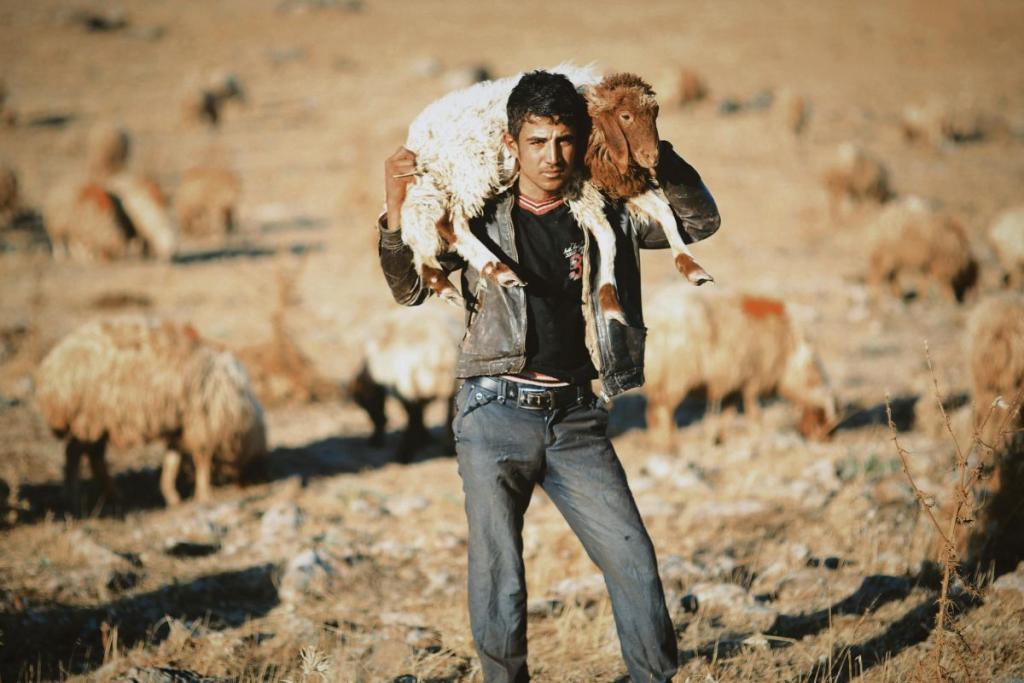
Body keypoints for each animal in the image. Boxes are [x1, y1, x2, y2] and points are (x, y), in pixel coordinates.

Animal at [34, 316, 267, 509]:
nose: (250, 483)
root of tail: (52, 367)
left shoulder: (179, 427)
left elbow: (172, 461)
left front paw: (172, 496)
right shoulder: (201, 424)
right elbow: (202, 460)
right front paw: (204, 495)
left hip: (96, 423)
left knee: (93, 456)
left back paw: (111, 495)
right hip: (88, 418)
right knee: (75, 454)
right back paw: (75, 497)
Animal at [348, 306, 460, 463]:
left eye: (366, 406)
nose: (374, 442)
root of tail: (442, 352)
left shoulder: (403, 390)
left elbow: (414, 416)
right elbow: (422, 414)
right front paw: (425, 440)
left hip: (410, 385)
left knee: (414, 417)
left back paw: (403, 455)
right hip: (451, 385)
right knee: (450, 413)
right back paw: (448, 448)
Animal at [400, 66, 712, 323]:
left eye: (655, 113)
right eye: (626, 116)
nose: (653, 157)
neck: (590, 127)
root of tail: (420, 138)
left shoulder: (612, 178)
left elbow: (665, 213)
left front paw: (692, 268)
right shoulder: (579, 187)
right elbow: (608, 235)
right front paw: (610, 299)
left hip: (438, 185)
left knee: (422, 224)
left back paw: (439, 280)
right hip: (469, 174)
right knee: (450, 224)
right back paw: (497, 269)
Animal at [644, 286, 838, 447]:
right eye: (821, 416)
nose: (825, 440)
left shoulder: (734, 386)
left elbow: (727, 415)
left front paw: (721, 439)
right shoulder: (753, 380)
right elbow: (754, 414)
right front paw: (756, 436)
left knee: (654, 411)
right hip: (676, 377)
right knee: (662, 412)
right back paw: (668, 443)